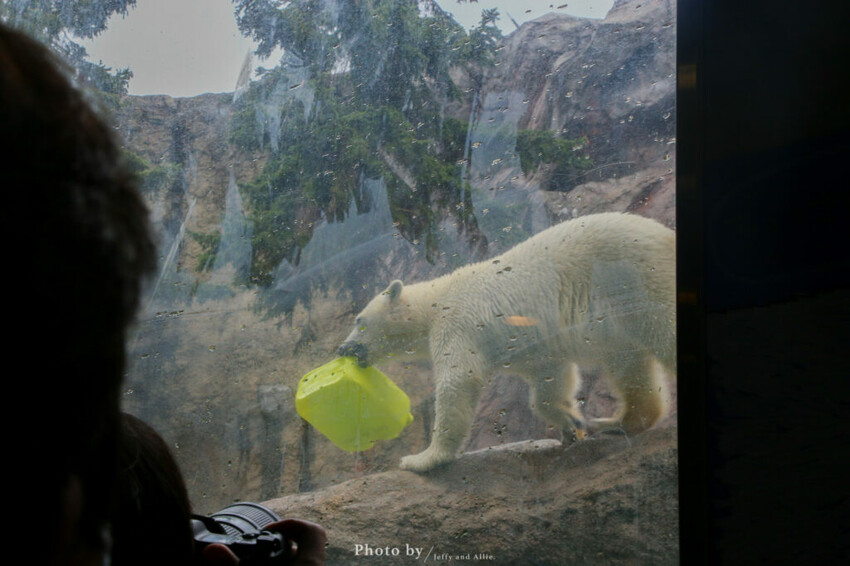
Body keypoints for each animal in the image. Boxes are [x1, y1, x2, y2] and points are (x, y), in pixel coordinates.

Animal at [338, 212, 676, 472]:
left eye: (359, 321)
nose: (343, 348)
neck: (434, 302)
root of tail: (666, 234)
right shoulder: (532, 346)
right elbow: (548, 378)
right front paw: (571, 422)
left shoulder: (457, 323)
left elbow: (459, 381)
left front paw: (421, 459)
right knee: (629, 362)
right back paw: (617, 422)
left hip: (636, 277)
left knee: (664, 331)